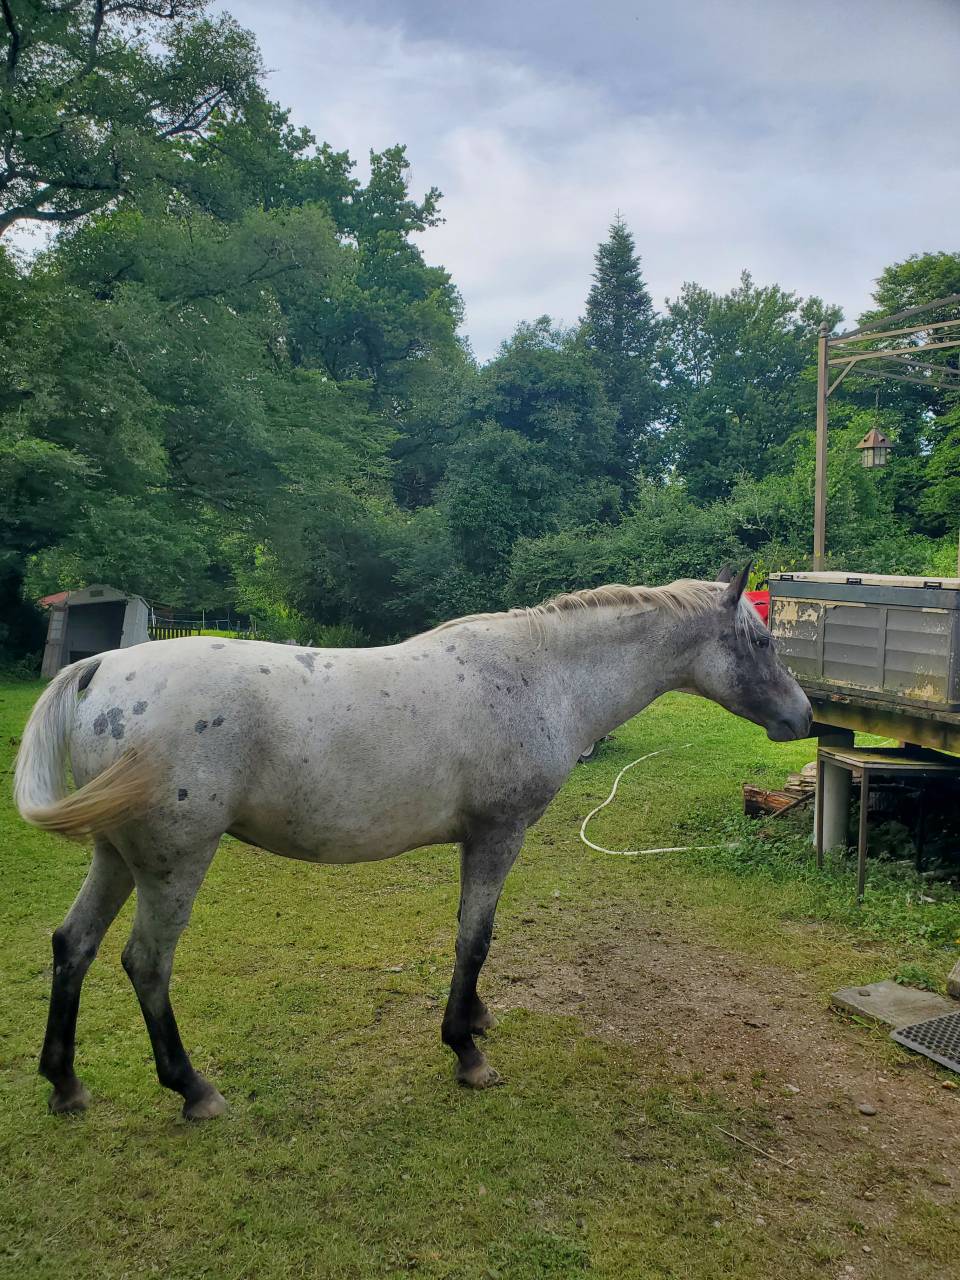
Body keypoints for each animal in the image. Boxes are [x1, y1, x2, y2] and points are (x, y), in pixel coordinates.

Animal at [14, 566, 812, 1119]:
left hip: (118, 857)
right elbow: (474, 937)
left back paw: (65, 1084)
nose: (803, 718)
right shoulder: (497, 835)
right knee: (146, 963)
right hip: (174, 863)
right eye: (762, 639)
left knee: (73, 945)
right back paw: (192, 1089)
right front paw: (466, 1050)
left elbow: (474, 935)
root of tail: (102, 668)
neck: (540, 675)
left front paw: (477, 1019)